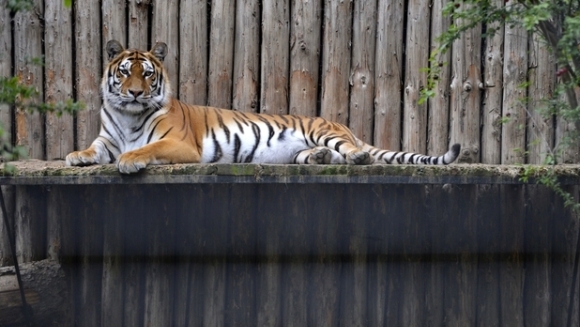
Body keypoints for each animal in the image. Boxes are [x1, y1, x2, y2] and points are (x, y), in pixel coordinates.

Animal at [64, 40, 462, 174]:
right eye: (124, 73)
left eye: (147, 74)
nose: (134, 93)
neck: (128, 115)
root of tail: (346, 127)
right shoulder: (107, 139)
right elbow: (93, 149)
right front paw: (75, 156)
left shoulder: (179, 143)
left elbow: (145, 148)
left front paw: (129, 161)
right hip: (300, 150)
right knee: (323, 156)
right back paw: (320, 158)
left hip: (326, 131)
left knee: (351, 151)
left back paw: (357, 156)